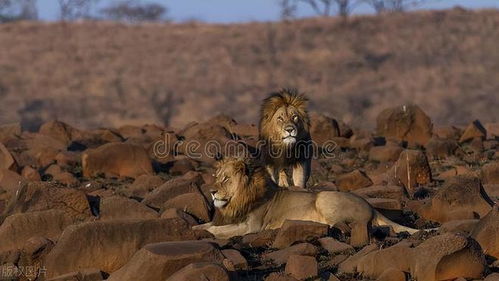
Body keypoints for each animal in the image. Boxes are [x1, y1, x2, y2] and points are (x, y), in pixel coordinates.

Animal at [194, 156, 422, 246]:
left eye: (226, 178)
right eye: (217, 177)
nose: (212, 191)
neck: (238, 199)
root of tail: (372, 207)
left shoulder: (251, 226)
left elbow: (221, 230)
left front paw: (207, 232)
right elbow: (210, 224)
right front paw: (197, 228)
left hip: (324, 199)